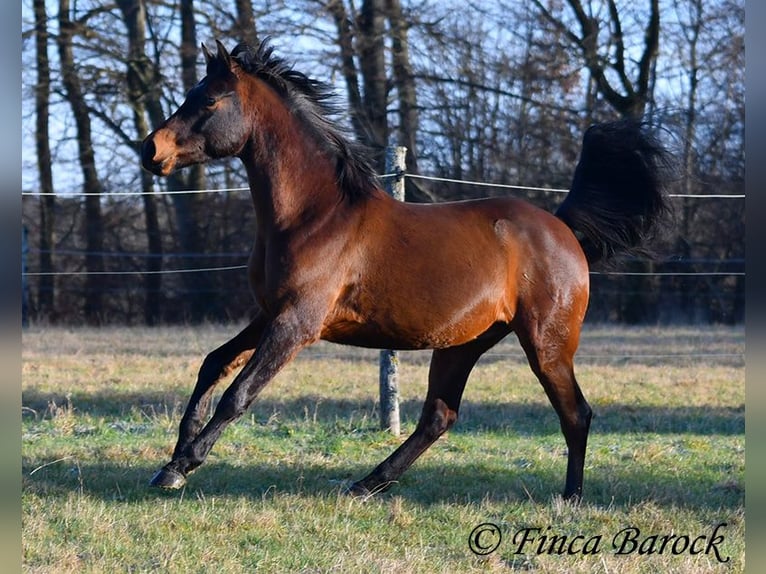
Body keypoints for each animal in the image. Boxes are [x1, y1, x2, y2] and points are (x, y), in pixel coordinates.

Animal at [140, 39, 672, 504]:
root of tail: (561, 228)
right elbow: (213, 364)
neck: (314, 216)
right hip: (463, 343)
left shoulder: (297, 323)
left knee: (576, 413)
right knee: (439, 416)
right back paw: (365, 484)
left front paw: (183, 465)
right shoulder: (270, 314)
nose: (151, 150)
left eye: (209, 100)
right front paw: (174, 458)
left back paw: (571, 497)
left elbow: (240, 393)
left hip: (547, 344)